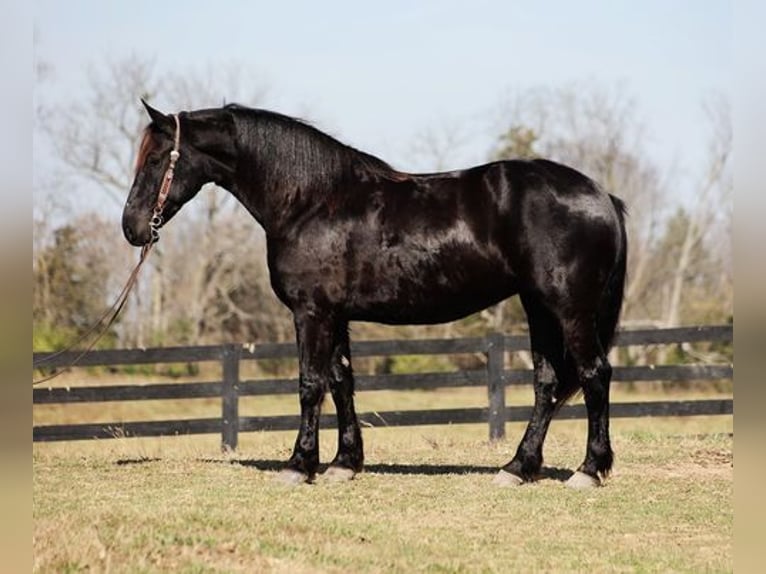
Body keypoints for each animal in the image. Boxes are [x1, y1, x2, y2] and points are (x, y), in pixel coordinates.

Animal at [124, 102, 632, 490]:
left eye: (156, 160)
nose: (132, 228)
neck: (310, 201)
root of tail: (601, 195)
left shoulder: (311, 312)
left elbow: (310, 385)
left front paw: (299, 465)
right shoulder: (335, 315)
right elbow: (341, 382)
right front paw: (343, 464)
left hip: (569, 308)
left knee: (595, 374)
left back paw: (589, 471)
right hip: (539, 307)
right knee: (548, 383)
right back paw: (517, 468)